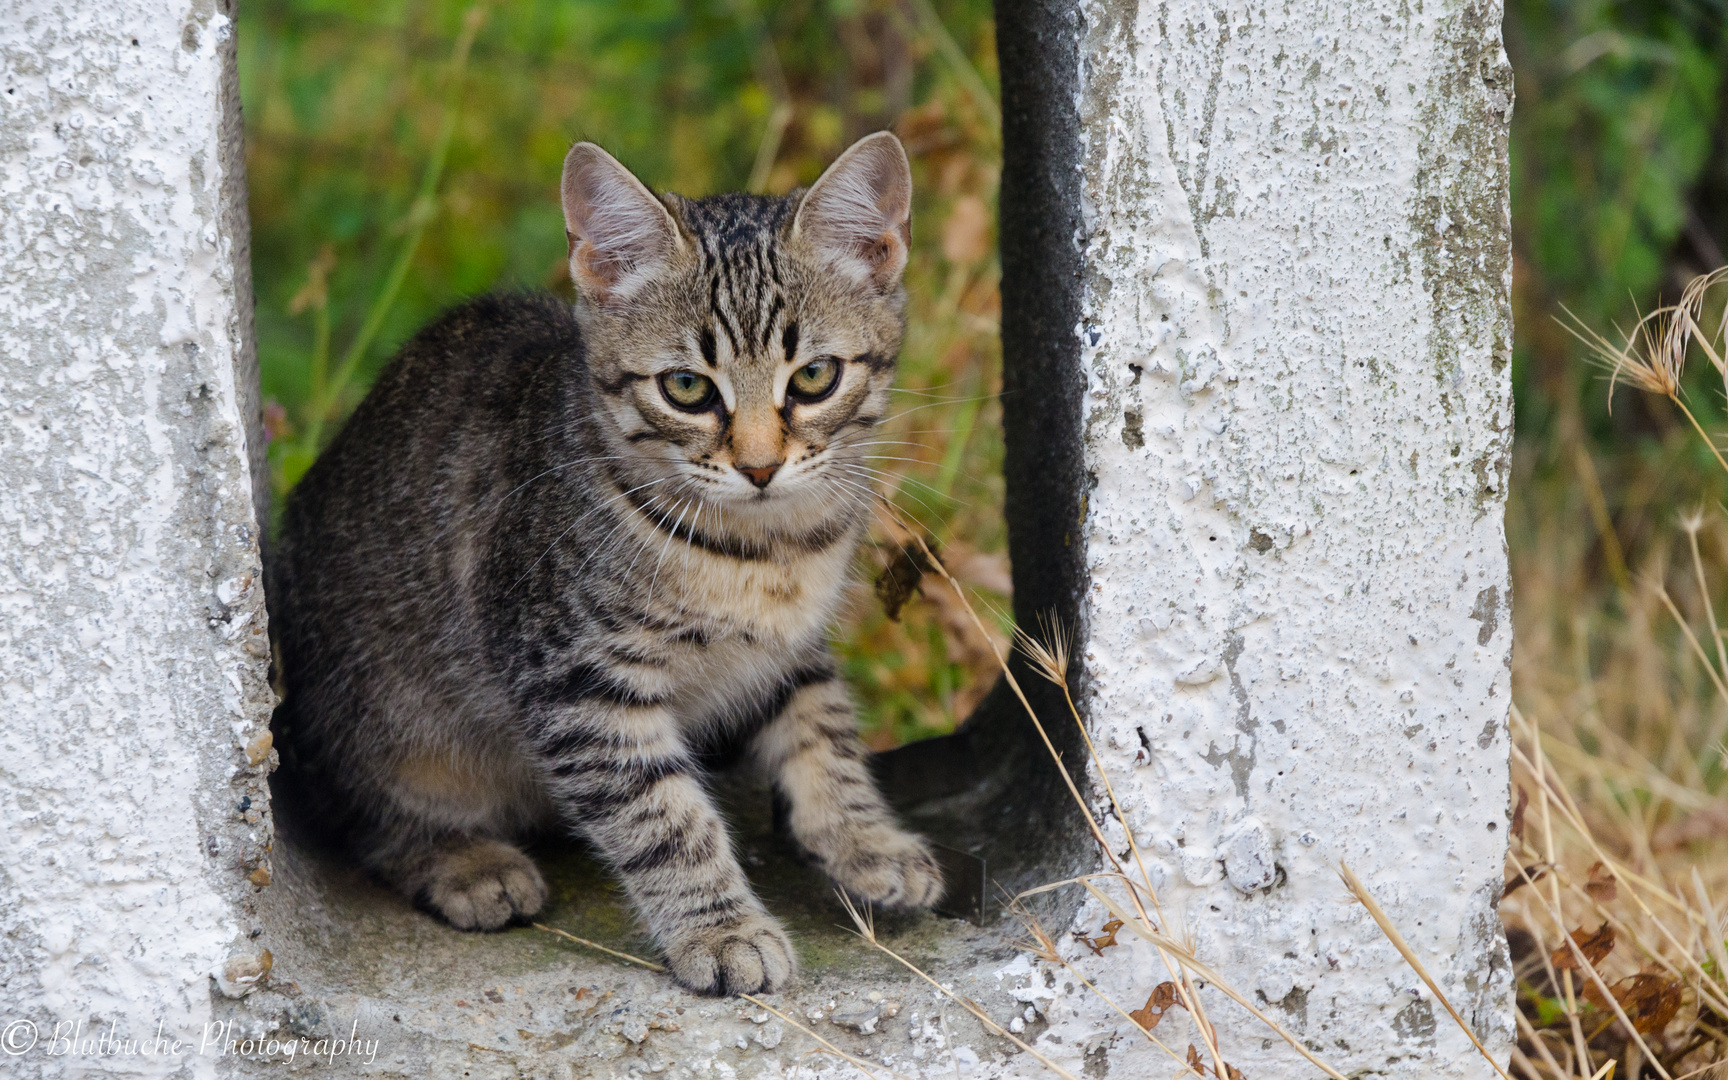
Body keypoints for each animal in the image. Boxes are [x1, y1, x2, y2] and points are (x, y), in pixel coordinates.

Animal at [269, 134, 946, 995]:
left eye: (815, 377)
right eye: (686, 387)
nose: (760, 466)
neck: (764, 549)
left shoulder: (790, 647)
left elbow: (821, 729)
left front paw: (866, 840)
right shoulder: (576, 677)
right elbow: (662, 816)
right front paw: (721, 929)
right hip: (383, 717)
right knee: (362, 814)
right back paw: (465, 862)